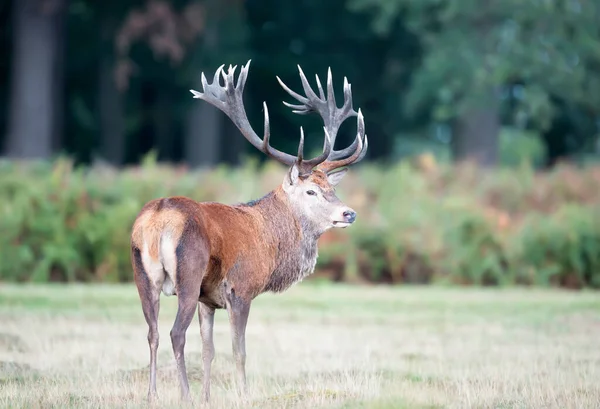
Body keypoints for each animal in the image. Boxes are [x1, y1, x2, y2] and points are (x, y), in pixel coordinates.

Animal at [129, 59, 368, 404]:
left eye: (331, 189)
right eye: (310, 191)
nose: (349, 213)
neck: (270, 240)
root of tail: (158, 220)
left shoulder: (208, 299)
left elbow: (209, 350)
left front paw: (208, 398)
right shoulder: (240, 288)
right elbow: (239, 350)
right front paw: (242, 395)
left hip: (142, 274)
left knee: (152, 332)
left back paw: (153, 396)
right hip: (188, 273)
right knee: (175, 333)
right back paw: (184, 396)